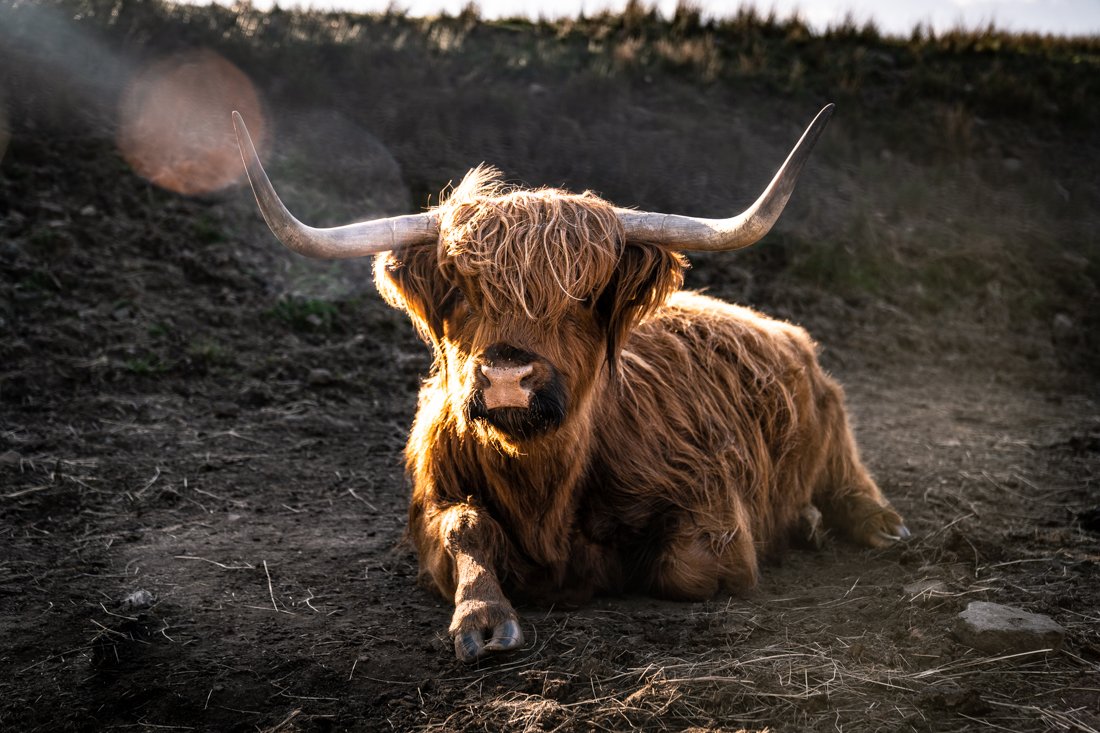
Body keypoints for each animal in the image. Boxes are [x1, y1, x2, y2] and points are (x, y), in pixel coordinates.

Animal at [232, 105, 909, 662]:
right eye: (465, 290)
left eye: (581, 296)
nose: (507, 375)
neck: (542, 487)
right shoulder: (431, 503)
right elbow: (464, 530)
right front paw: (484, 619)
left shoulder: (712, 509)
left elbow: (684, 568)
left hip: (833, 430)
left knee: (849, 480)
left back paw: (874, 525)